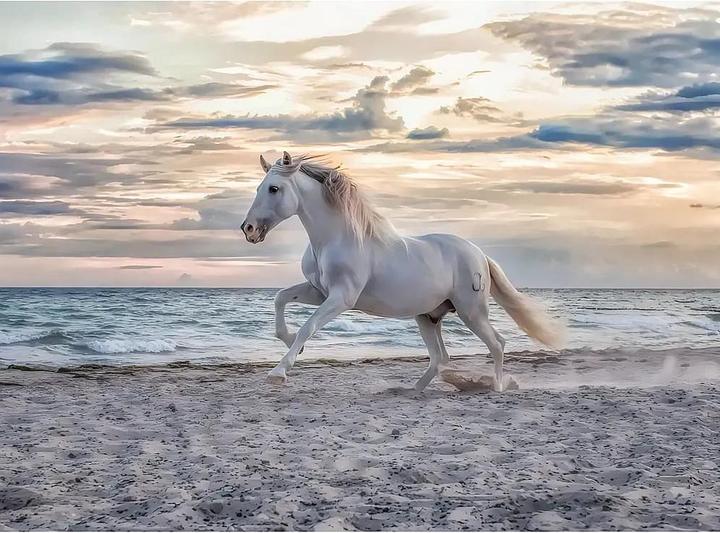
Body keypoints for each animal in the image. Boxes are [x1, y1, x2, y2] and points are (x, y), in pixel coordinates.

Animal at [241, 151, 565, 391]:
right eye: (258, 188)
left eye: (274, 188)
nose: (249, 230)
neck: (336, 238)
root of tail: (479, 255)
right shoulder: (319, 291)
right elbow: (281, 299)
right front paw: (289, 343)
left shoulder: (342, 298)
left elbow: (308, 327)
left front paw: (279, 372)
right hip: (428, 317)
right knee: (440, 358)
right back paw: (412, 389)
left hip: (471, 311)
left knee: (497, 344)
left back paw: (496, 387)